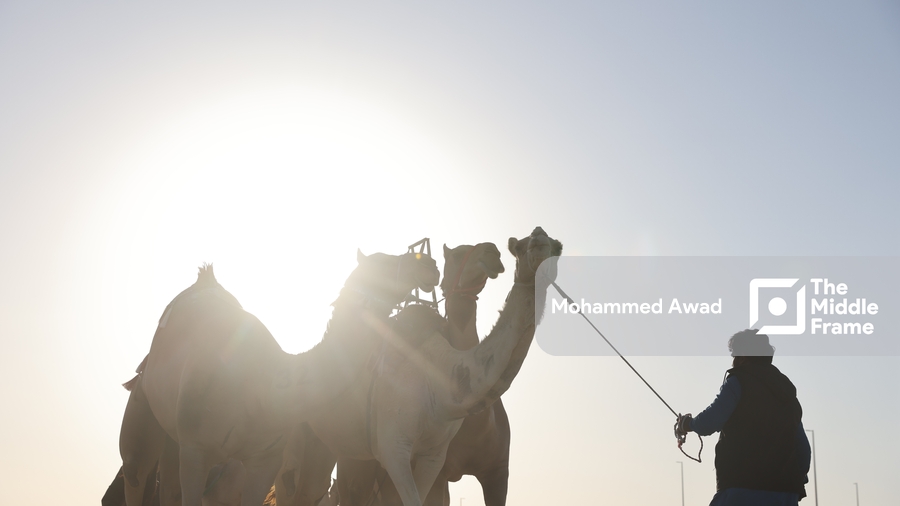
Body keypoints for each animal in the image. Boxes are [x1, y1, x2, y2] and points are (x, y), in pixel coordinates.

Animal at [119, 251, 439, 506]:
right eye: (384, 260)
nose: (431, 265)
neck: (263, 387)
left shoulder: (265, 461)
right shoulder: (196, 450)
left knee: (167, 488)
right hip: (145, 405)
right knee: (136, 471)